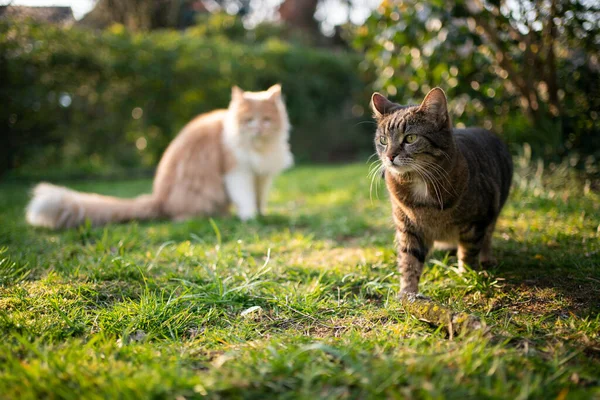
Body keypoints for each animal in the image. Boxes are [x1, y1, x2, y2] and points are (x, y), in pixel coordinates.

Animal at [25, 84, 292, 228]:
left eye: (266, 120)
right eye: (249, 120)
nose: (258, 129)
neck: (259, 148)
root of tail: (158, 199)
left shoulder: (261, 175)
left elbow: (259, 198)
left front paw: (261, 214)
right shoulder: (237, 171)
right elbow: (246, 198)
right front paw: (249, 217)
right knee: (181, 216)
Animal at [370, 86, 510, 294]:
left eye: (410, 138)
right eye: (383, 140)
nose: (389, 156)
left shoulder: (477, 221)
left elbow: (469, 251)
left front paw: (467, 276)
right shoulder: (408, 228)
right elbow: (409, 261)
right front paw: (408, 293)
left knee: (487, 236)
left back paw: (486, 259)